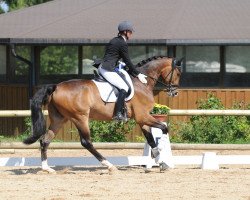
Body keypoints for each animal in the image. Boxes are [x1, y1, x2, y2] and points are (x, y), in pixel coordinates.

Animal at [23, 56, 183, 173]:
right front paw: (160, 156)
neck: (141, 83)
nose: (174, 92)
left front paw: (160, 161)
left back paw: (46, 168)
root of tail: (56, 87)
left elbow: (150, 139)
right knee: (86, 142)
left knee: (45, 140)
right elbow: (163, 128)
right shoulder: (142, 116)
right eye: (178, 73)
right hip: (80, 117)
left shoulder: (142, 119)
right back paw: (109, 165)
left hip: (59, 119)